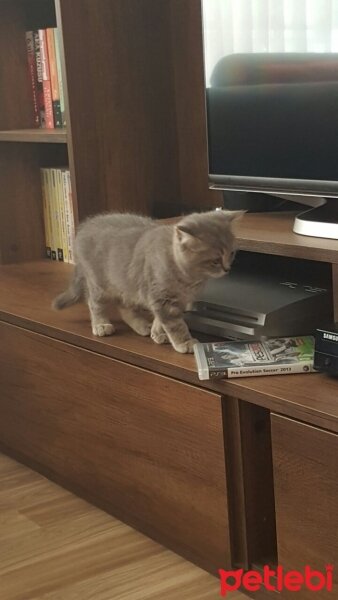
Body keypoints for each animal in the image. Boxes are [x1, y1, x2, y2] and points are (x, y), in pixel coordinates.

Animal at [52, 210, 243, 352]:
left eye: (232, 254)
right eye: (215, 260)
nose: (227, 269)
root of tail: (83, 228)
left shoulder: (169, 300)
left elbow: (160, 319)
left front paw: (157, 333)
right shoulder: (163, 299)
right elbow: (175, 324)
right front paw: (184, 342)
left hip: (127, 284)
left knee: (125, 308)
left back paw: (141, 325)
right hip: (99, 282)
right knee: (94, 303)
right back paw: (101, 324)